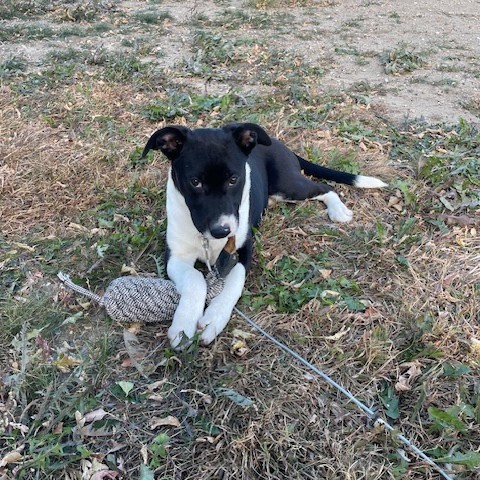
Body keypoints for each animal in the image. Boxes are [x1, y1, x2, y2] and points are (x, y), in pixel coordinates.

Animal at [142, 123, 386, 348]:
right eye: (195, 182)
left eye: (234, 179)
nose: (222, 231)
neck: (207, 240)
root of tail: (279, 144)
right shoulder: (176, 256)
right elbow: (195, 279)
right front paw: (184, 325)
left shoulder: (241, 250)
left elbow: (234, 285)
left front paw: (214, 318)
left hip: (288, 186)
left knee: (324, 187)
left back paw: (338, 210)